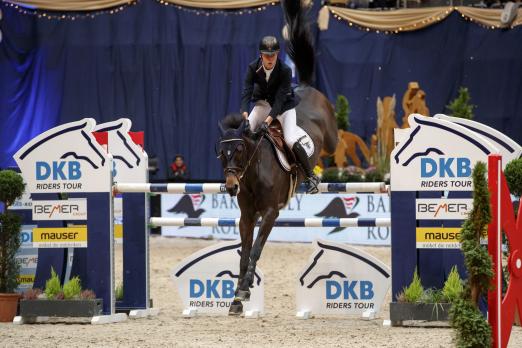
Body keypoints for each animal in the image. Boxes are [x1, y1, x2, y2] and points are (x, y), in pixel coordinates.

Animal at [215, 0, 338, 316]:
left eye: (240, 150)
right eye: (221, 153)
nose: (231, 187)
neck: (253, 174)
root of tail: (304, 87)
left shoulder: (271, 213)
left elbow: (257, 250)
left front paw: (244, 291)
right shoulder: (247, 215)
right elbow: (245, 252)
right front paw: (237, 299)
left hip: (330, 135)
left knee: (336, 142)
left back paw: (320, 174)